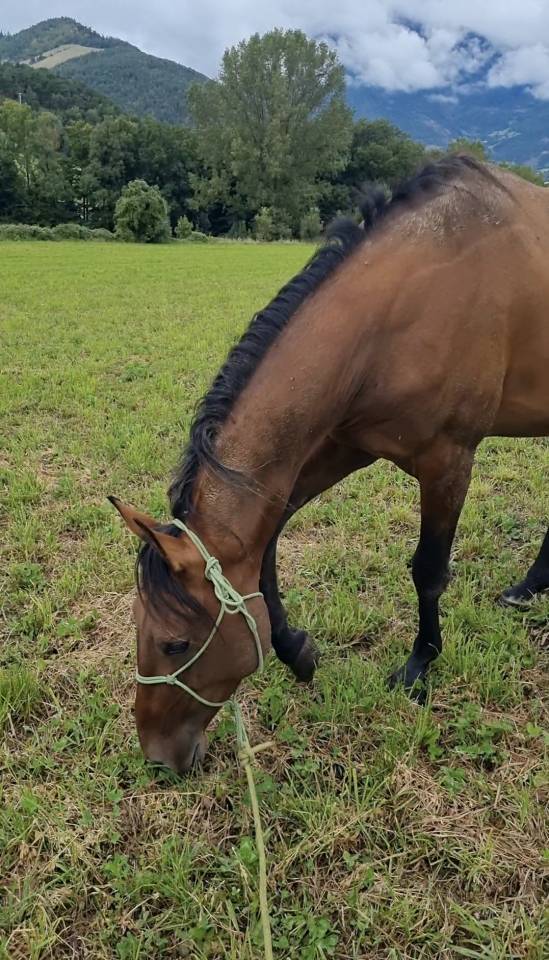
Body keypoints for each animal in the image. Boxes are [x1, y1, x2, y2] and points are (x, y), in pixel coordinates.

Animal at [111, 155, 549, 774]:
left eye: (175, 643)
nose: (157, 759)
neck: (408, 305)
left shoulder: (448, 459)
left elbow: (429, 570)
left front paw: (419, 666)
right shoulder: (345, 445)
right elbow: (268, 545)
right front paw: (297, 652)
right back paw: (530, 587)